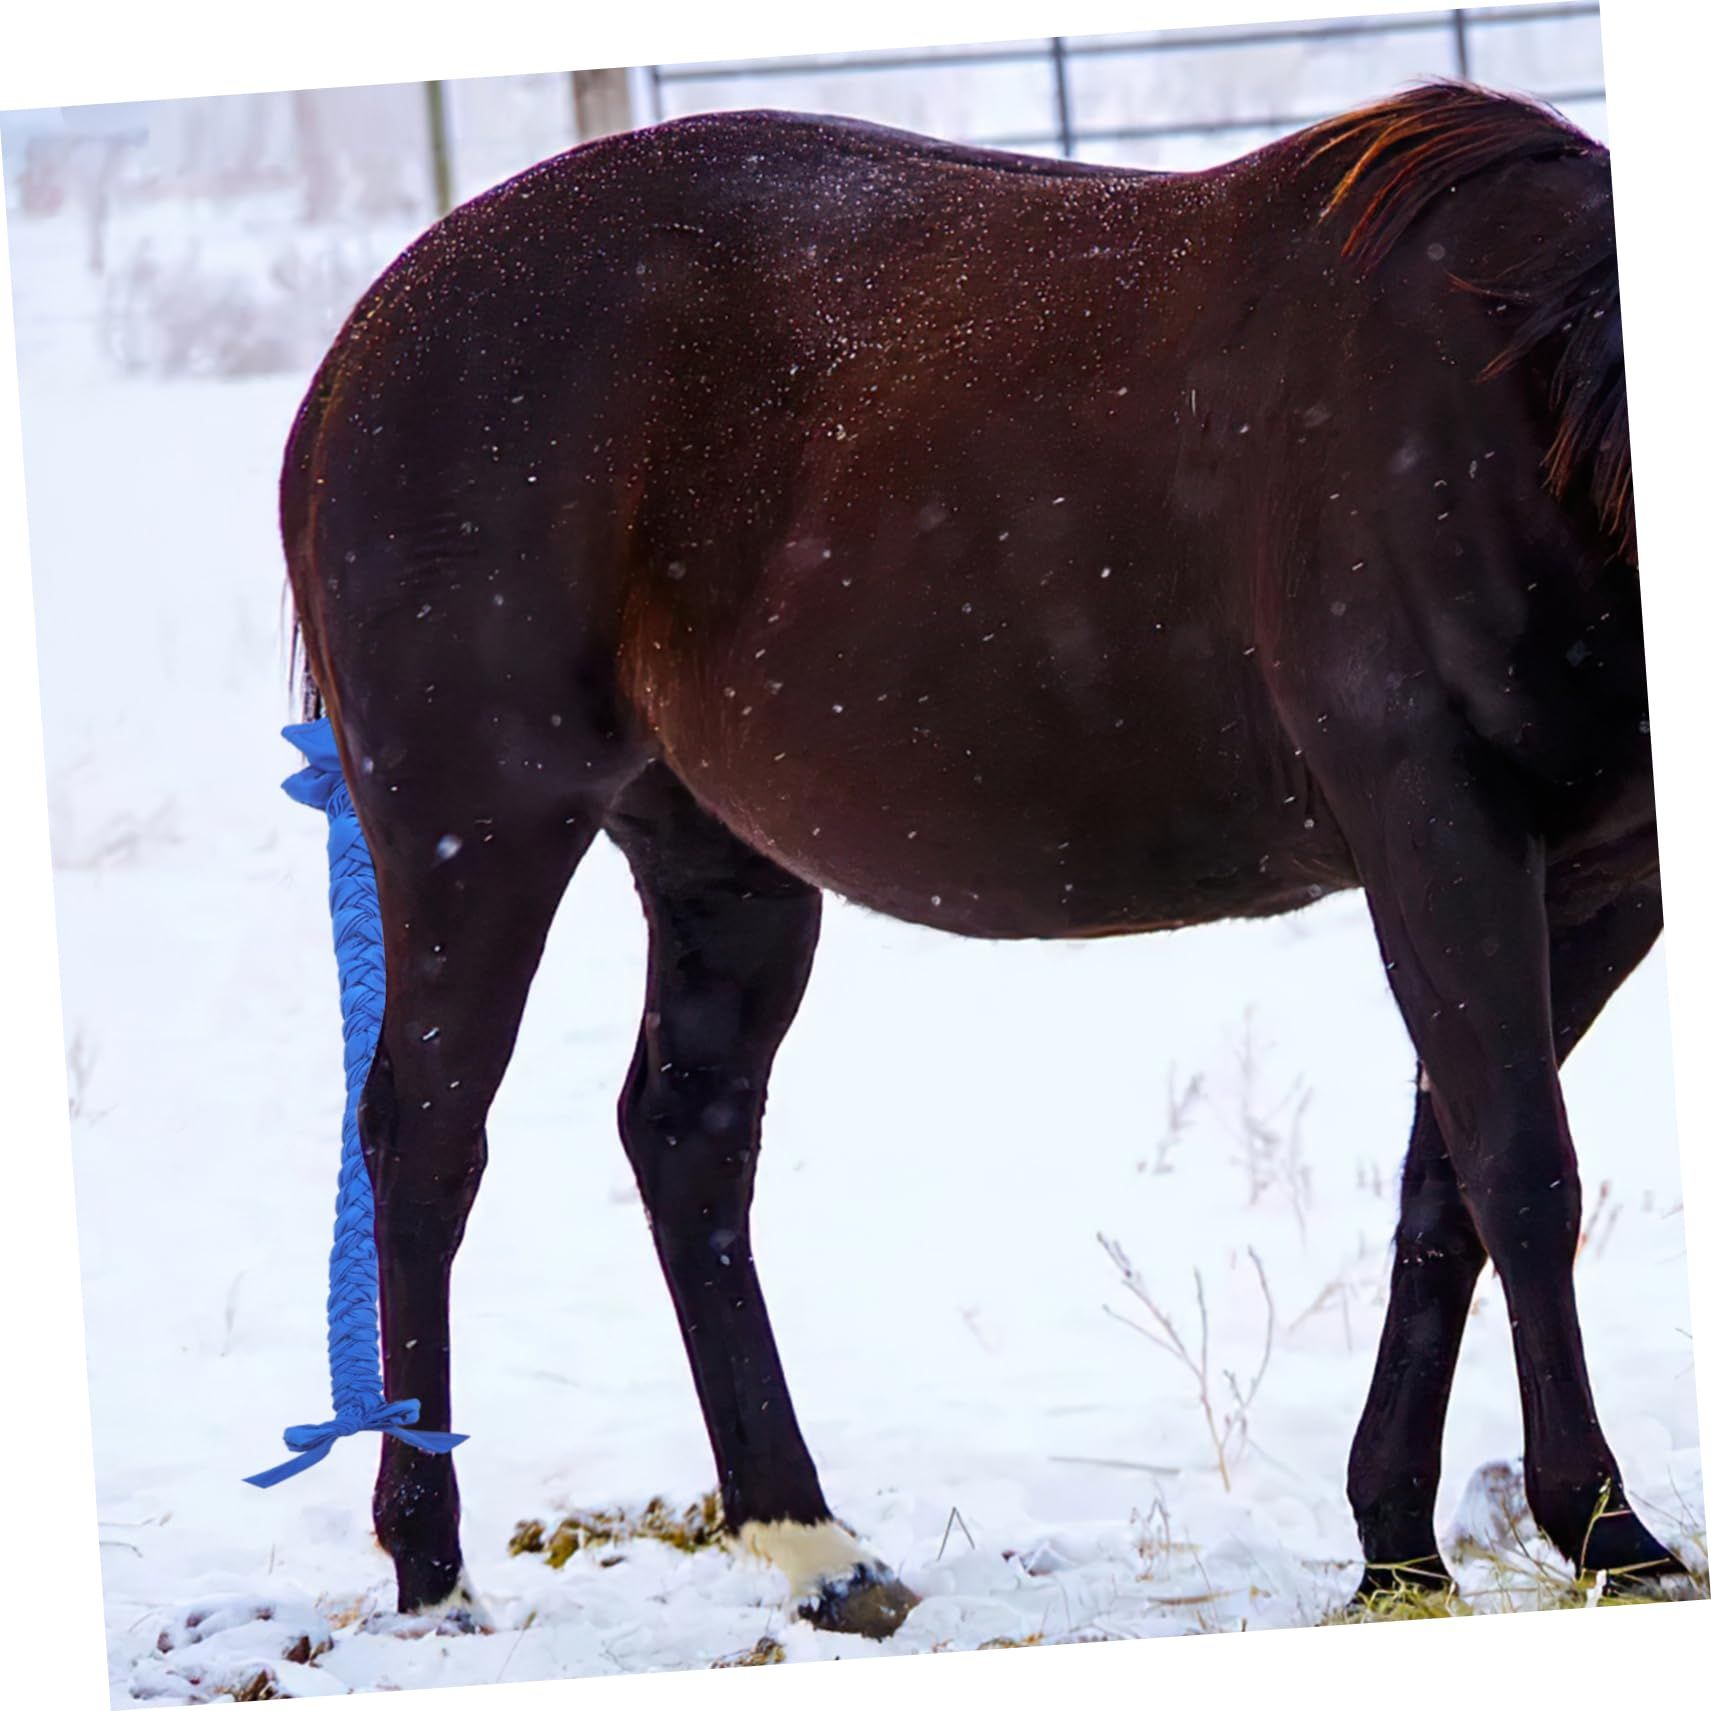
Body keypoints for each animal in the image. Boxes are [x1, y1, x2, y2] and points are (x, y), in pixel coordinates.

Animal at [280, 80, 1678, 1635]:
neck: (1517, 396)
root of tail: (365, 347)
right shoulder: (1438, 828)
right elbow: (1522, 1171)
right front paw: (1605, 1529)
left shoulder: (1598, 883)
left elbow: (1447, 1185)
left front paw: (1396, 1547)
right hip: (480, 833)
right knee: (424, 1143)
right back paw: (432, 1572)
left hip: (722, 868)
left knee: (686, 1138)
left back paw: (812, 1543)